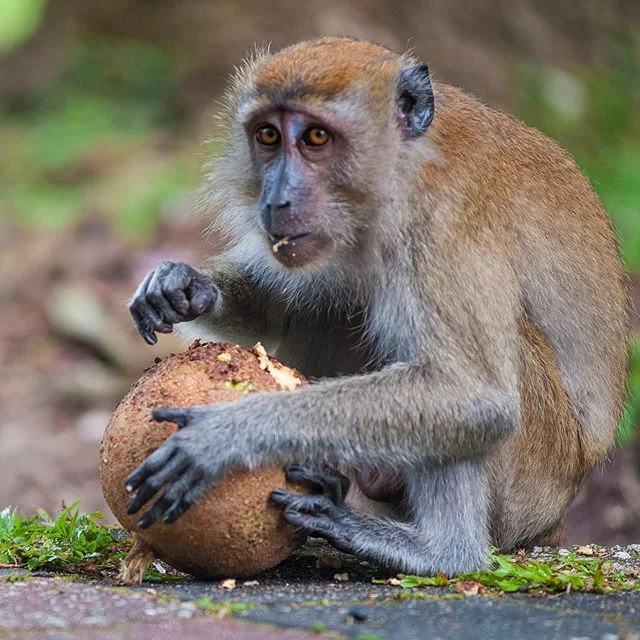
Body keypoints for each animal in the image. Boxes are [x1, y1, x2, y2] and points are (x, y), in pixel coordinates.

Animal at [124, 37, 629, 576]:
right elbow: (283, 304)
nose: (276, 200)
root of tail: (555, 517)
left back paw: (440, 552)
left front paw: (227, 434)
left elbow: (472, 395)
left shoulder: (443, 229)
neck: (401, 169)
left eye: (316, 138)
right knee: (334, 306)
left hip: (530, 484)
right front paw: (185, 287)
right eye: (267, 136)